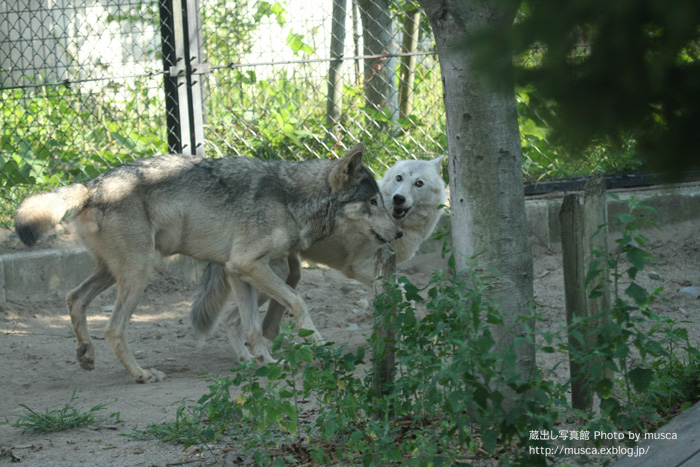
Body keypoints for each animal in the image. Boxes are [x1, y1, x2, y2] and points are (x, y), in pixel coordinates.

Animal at [13, 145, 402, 384]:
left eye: (382, 200)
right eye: (372, 201)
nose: (398, 232)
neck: (291, 200)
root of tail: (90, 185)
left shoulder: (239, 270)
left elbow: (251, 327)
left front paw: (265, 364)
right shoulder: (248, 265)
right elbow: (297, 303)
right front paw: (317, 344)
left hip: (114, 272)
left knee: (74, 298)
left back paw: (85, 355)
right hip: (139, 274)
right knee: (112, 328)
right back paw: (141, 375)